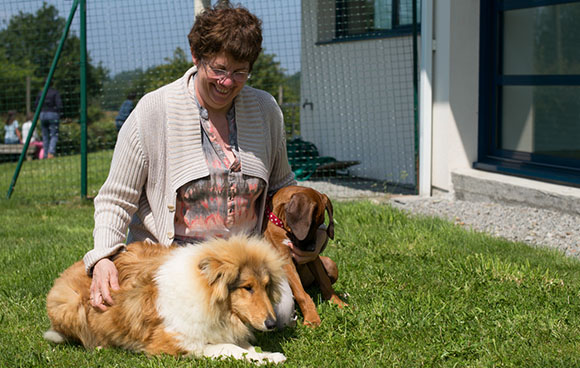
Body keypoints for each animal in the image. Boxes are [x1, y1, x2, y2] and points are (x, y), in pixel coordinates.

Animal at [44, 237, 288, 364]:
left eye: (266, 285)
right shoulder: (173, 341)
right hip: (70, 304)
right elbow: (229, 348)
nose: (272, 324)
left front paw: (270, 356)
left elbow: (247, 347)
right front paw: (267, 358)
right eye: (247, 287)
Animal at [264, 185, 348, 326]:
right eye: (311, 223)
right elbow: (301, 293)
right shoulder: (286, 261)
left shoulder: (313, 258)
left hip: (330, 264)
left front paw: (338, 303)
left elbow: (325, 282)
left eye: (319, 224)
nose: (312, 248)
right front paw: (312, 318)